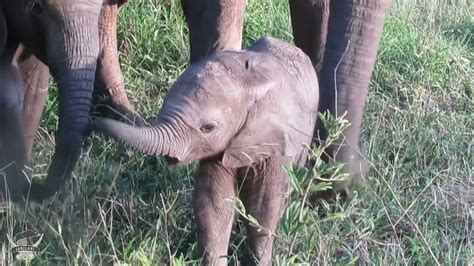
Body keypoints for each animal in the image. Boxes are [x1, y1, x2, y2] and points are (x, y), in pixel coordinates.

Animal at [92, 36, 318, 264]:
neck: (249, 80)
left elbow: (264, 206)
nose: (90, 125)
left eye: (208, 127)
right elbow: (214, 203)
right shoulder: (221, 148)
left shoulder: (278, 142)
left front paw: (259, 261)